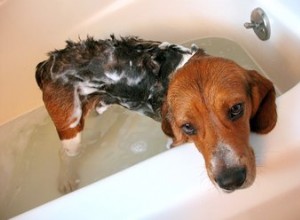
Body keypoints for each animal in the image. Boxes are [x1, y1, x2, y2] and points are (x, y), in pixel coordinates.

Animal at [35, 35, 276, 193]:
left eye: (236, 109)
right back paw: (66, 179)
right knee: (64, 153)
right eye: (187, 127)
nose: (231, 180)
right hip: (71, 128)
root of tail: (47, 64)